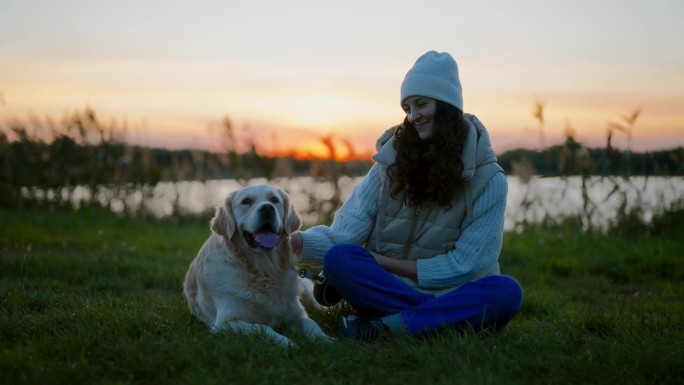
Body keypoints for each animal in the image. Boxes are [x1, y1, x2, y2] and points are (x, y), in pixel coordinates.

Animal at [182, 184, 332, 344]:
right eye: (246, 201)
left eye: (274, 200)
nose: (267, 209)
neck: (264, 271)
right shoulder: (225, 324)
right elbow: (262, 328)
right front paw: (287, 342)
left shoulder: (297, 313)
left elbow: (311, 324)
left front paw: (327, 340)